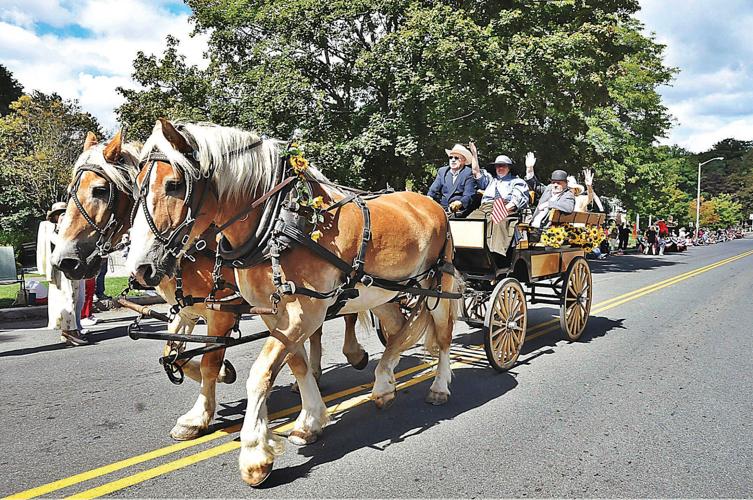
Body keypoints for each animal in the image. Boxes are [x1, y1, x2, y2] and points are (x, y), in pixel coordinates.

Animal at [126, 119, 462, 486]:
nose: (140, 268)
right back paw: (384, 384)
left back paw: (439, 387)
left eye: (173, 185)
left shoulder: (302, 312)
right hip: (383, 292)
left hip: (438, 286)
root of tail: (429, 202)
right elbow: (296, 364)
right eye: (135, 188)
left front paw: (254, 454)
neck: (277, 224)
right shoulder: (276, 315)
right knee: (399, 331)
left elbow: (258, 372)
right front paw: (309, 421)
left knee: (443, 336)